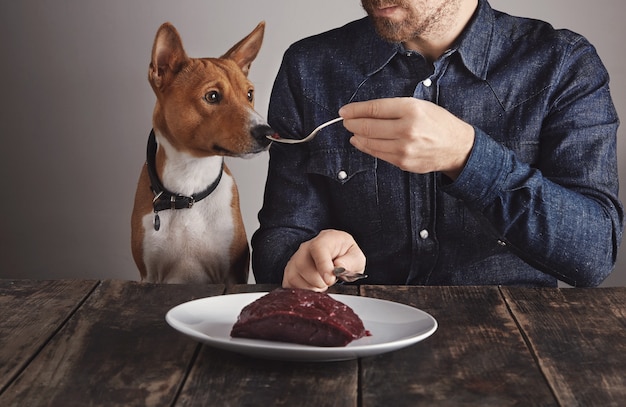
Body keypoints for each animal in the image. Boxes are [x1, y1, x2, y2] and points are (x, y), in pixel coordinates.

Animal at [130, 20, 272, 286]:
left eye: (249, 94)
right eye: (212, 96)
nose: (267, 132)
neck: (189, 187)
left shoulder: (231, 273)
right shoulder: (149, 275)